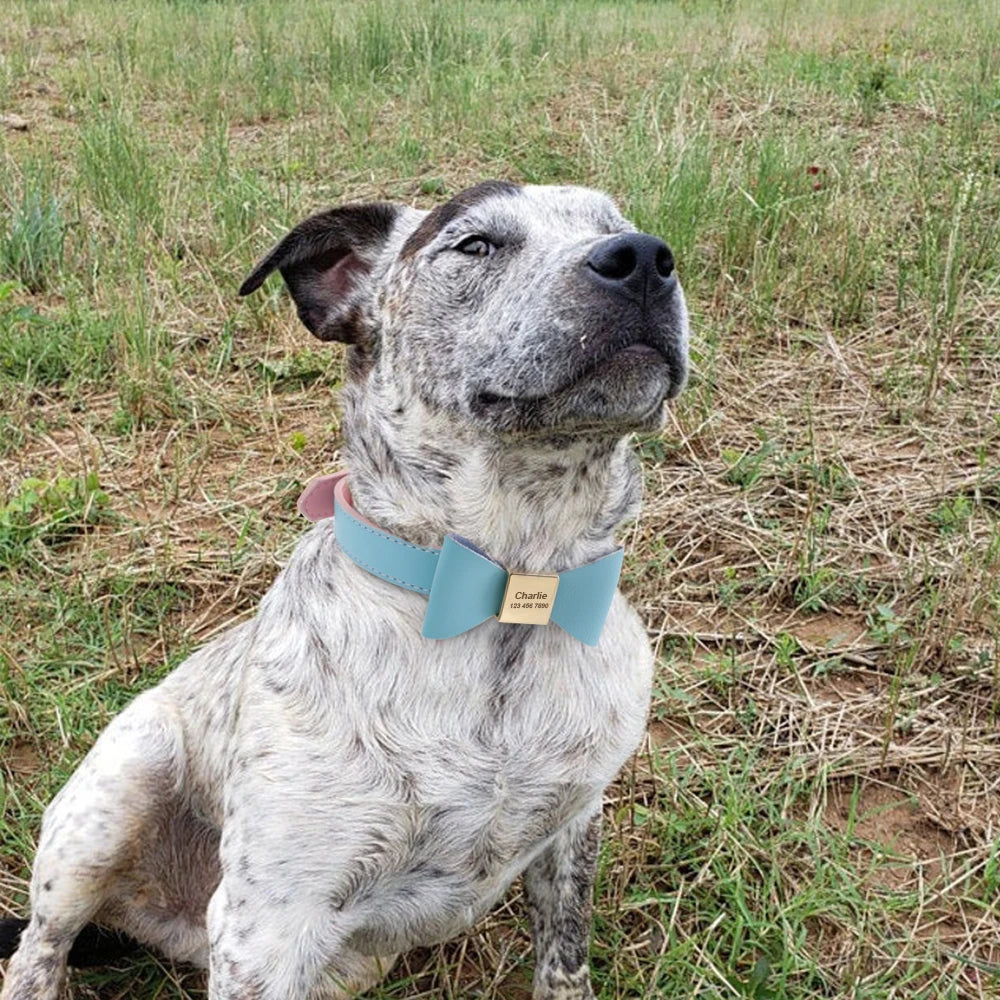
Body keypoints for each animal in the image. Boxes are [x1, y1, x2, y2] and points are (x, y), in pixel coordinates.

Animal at [0, 182, 688, 1000]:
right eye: (475, 245)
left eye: (618, 225)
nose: (643, 257)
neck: (507, 591)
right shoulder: (266, 928)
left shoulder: (572, 830)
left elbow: (563, 964)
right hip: (112, 801)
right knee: (38, 948)